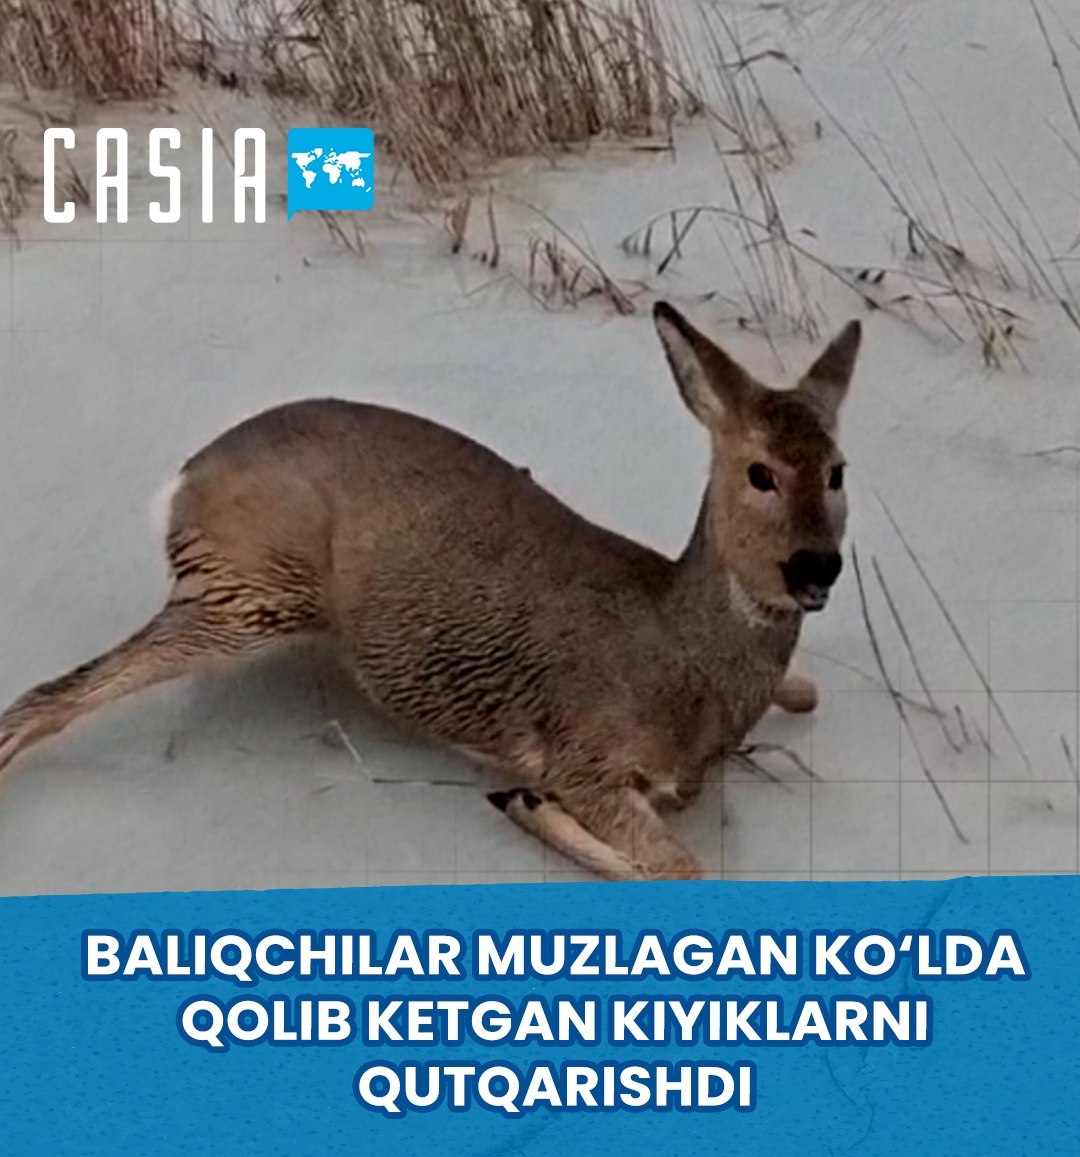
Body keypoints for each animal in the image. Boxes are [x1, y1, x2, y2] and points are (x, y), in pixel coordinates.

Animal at [0, 303, 860, 881]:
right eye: (759, 472)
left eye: (838, 469)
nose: (815, 566)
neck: (686, 665)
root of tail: (183, 480)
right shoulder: (582, 749)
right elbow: (681, 867)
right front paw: (527, 804)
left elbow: (809, 691)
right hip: (244, 589)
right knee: (48, 698)